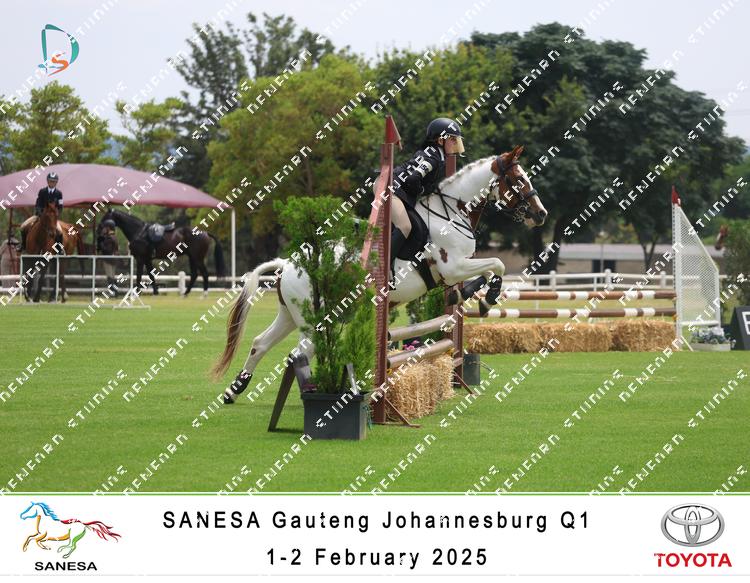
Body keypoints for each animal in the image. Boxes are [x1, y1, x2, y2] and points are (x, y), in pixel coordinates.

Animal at [212, 146, 547, 403]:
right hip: (312, 318)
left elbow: (474, 280)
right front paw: (488, 299)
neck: (451, 213)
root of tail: (287, 264)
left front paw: (468, 295)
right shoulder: (454, 266)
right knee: (299, 353)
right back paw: (310, 392)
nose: (541, 214)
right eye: (518, 179)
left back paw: (234, 390)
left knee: (261, 343)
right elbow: (498, 265)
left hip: (290, 315)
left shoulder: (455, 271)